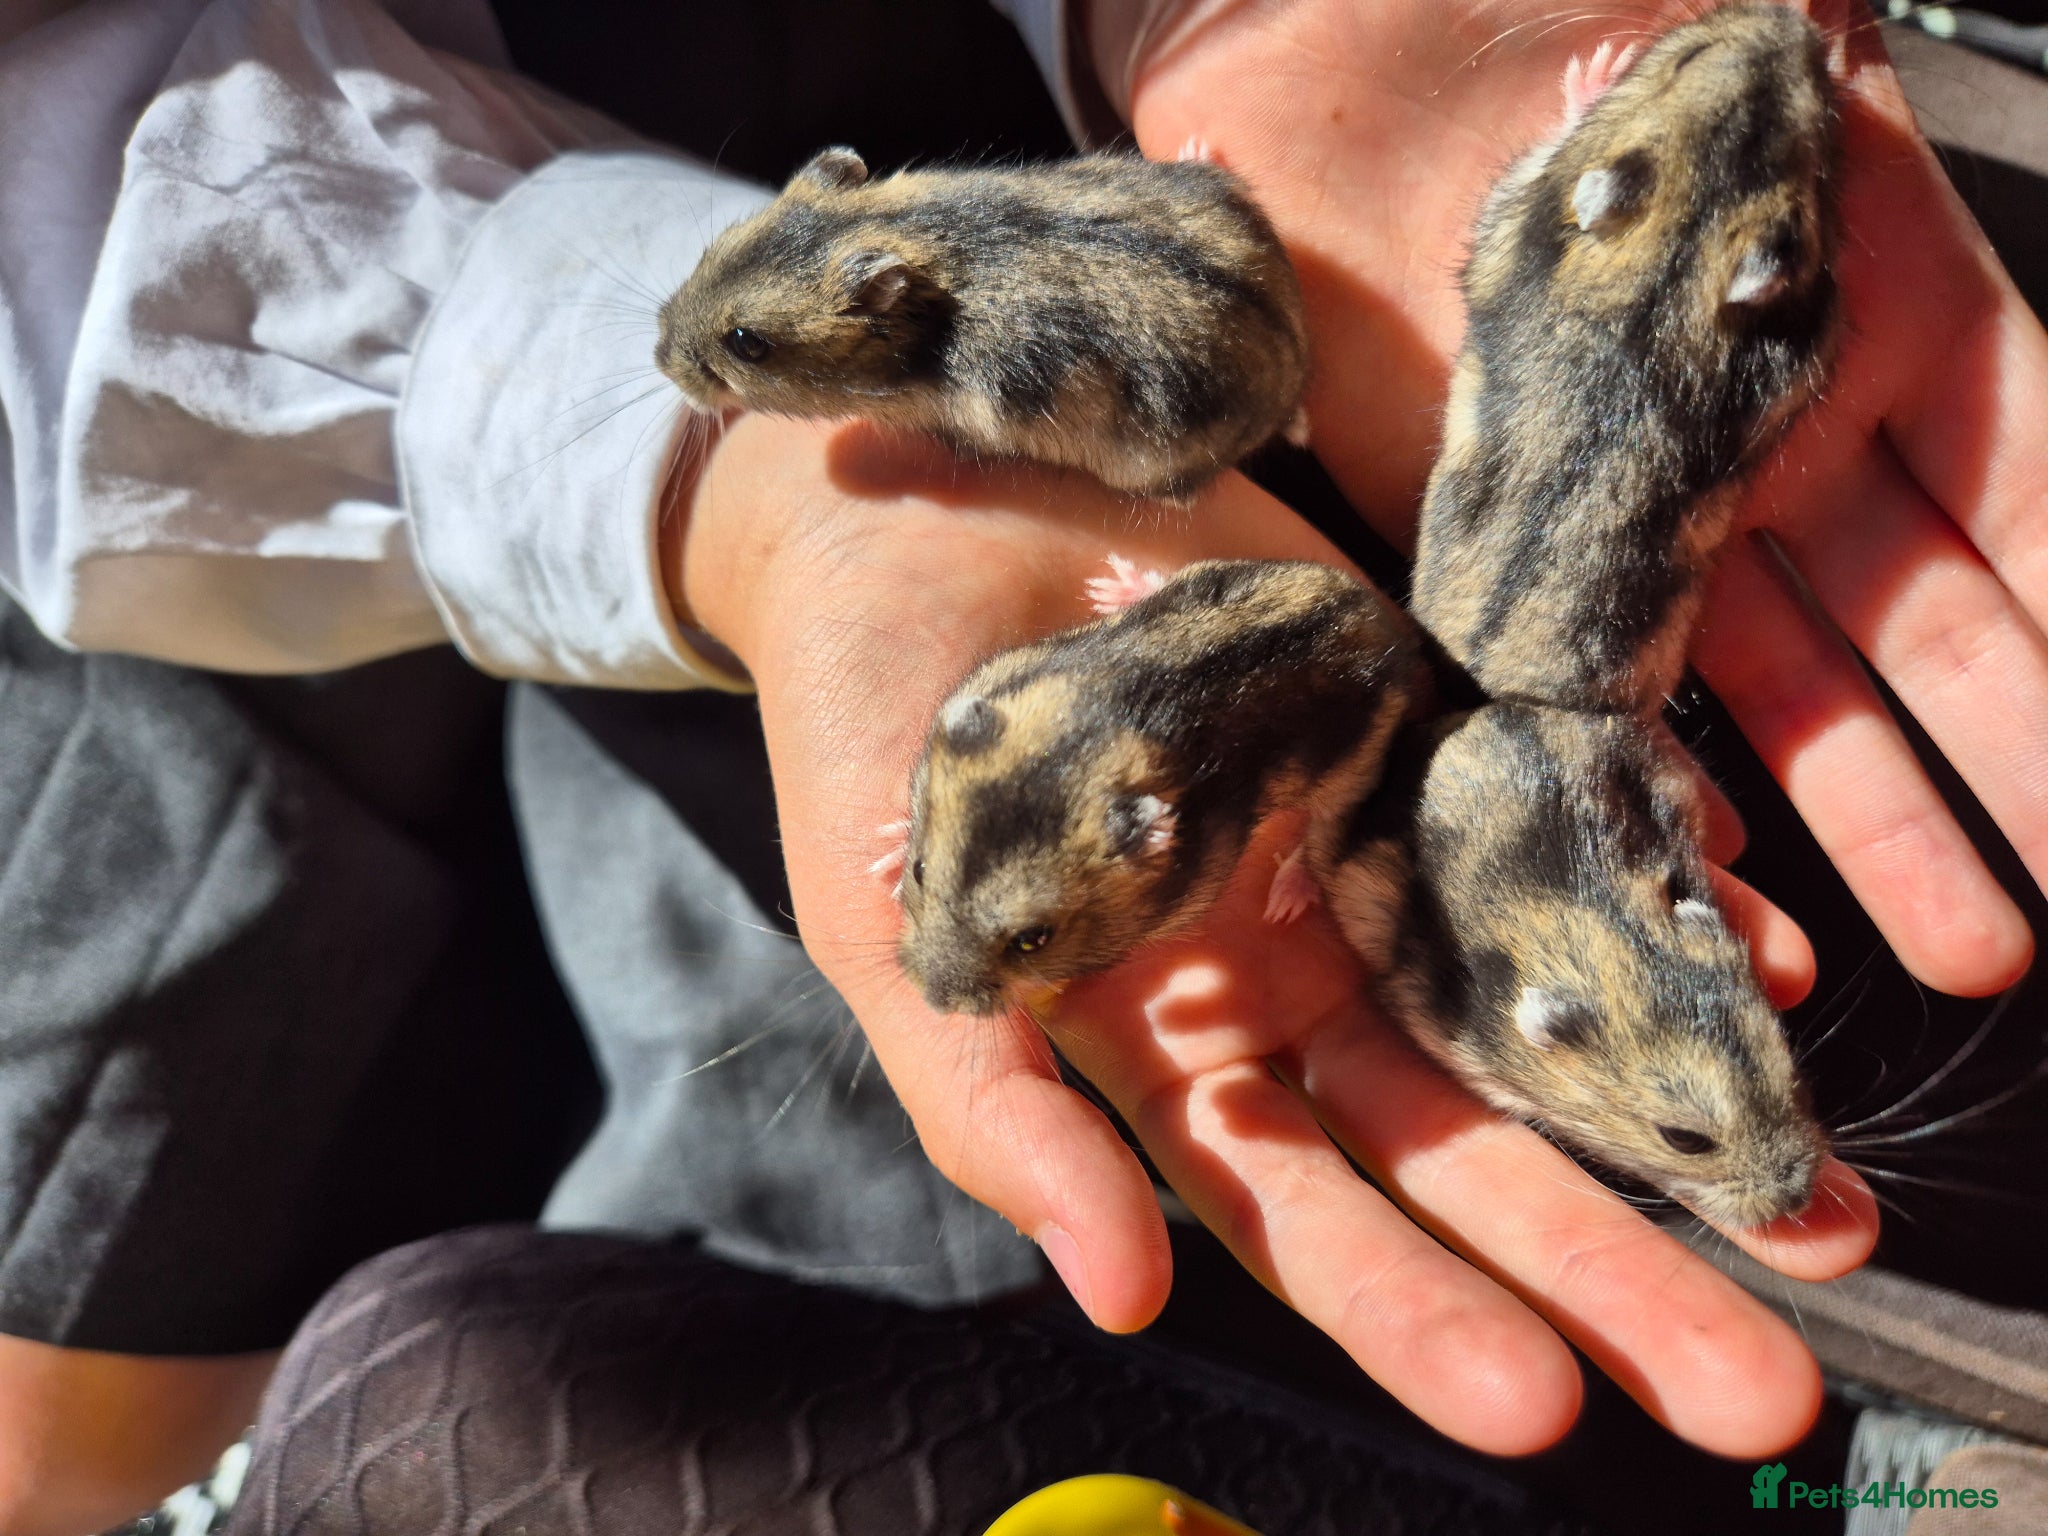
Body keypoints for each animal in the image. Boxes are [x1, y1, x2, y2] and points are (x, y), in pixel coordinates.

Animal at [896, 560, 1425, 1018]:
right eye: (920, 870)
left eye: (1033, 939)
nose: (933, 1002)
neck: (1097, 735)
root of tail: (1367, 602)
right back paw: (1114, 586)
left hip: (1356, 770)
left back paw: (1284, 901)